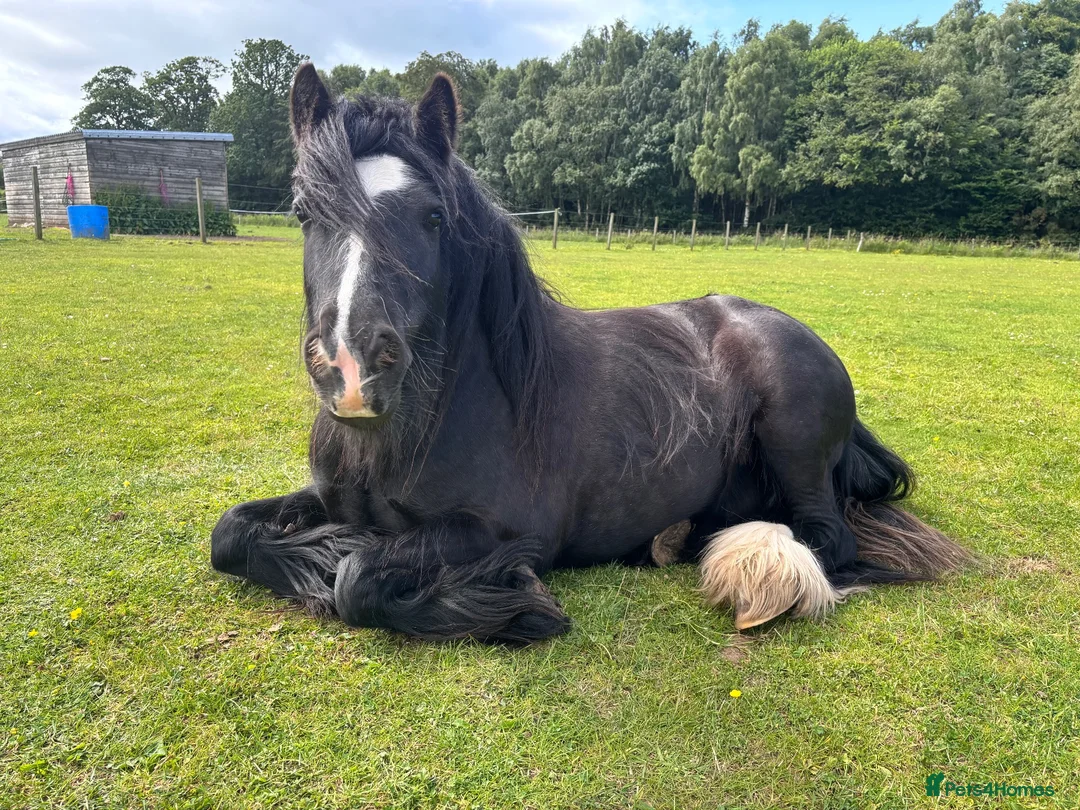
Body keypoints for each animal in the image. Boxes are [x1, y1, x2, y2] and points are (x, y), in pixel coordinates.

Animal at [210, 66, 969, 643]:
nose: (353, 370)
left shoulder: (502, 533)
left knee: (828, 538)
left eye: (433, 216)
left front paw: (516, 610)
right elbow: (229, 534)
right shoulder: (326, 497)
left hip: (794, 440)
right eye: (305, 212)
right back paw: (673, 540)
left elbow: (357, 579)